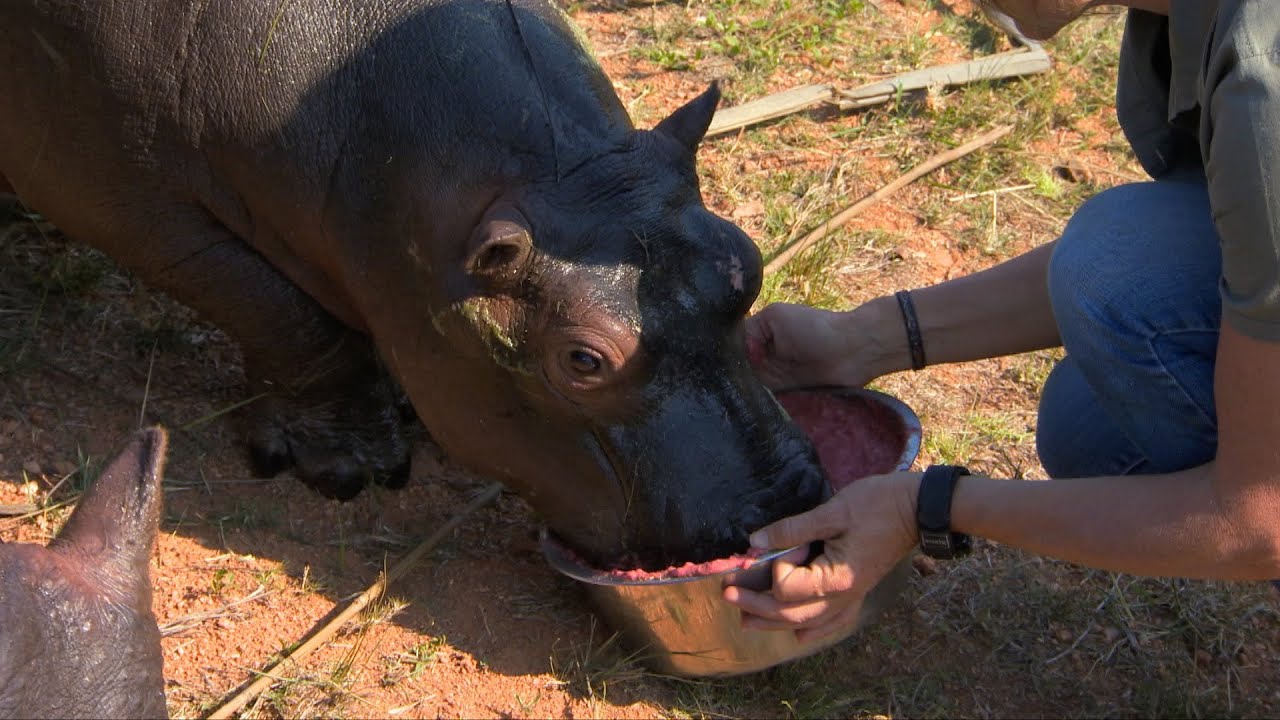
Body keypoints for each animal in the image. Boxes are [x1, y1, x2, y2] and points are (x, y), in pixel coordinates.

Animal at [0, 0, 828, 570]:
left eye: (745, 260)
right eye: (585, 361)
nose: (784, 500)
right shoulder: (110, 185)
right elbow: (277, 310)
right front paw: (354, 467)